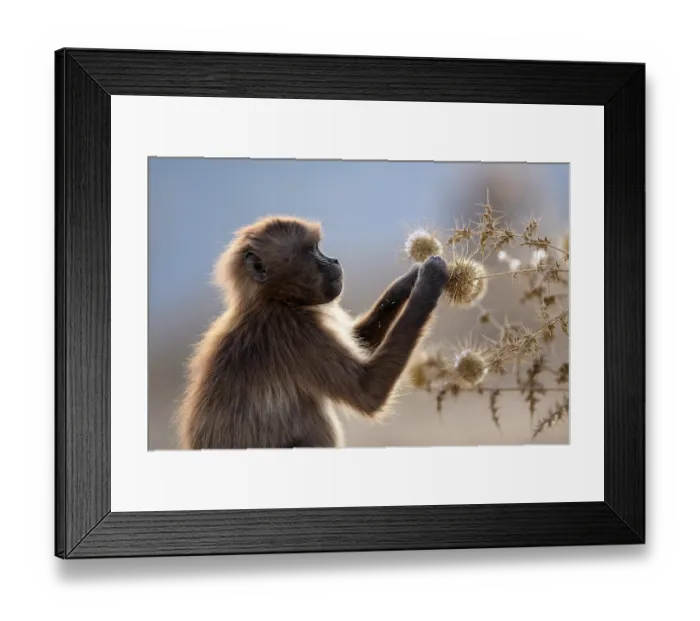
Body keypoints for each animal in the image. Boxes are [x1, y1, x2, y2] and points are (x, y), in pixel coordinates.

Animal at [177, 215, 449, 450]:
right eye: (311, 250)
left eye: (319, 247)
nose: (334, 261)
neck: (272, 300)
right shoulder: (293, 330)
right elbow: (369, 391)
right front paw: (429, 281)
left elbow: (361, 341)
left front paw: (407, 282)